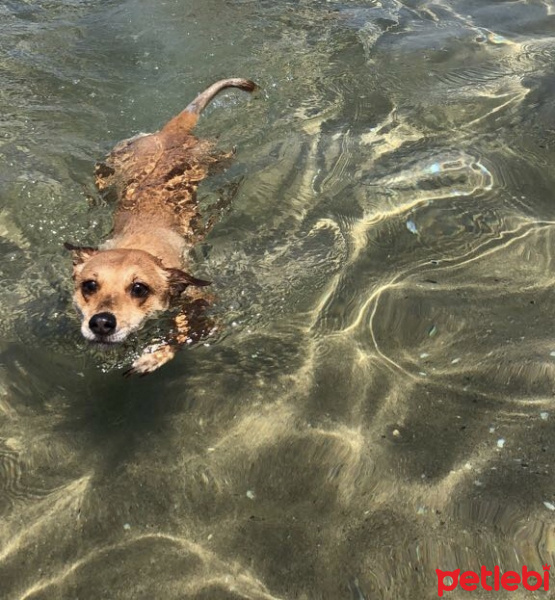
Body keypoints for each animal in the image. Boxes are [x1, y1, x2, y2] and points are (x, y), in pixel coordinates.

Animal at [65, 76, 258, 376]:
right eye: (89, 285)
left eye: (139, 288)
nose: (101, 322)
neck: (141, 244)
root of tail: (171, 133)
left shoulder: (204, 306)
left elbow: (183, 332)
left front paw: (152, 357)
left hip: (215, 160)